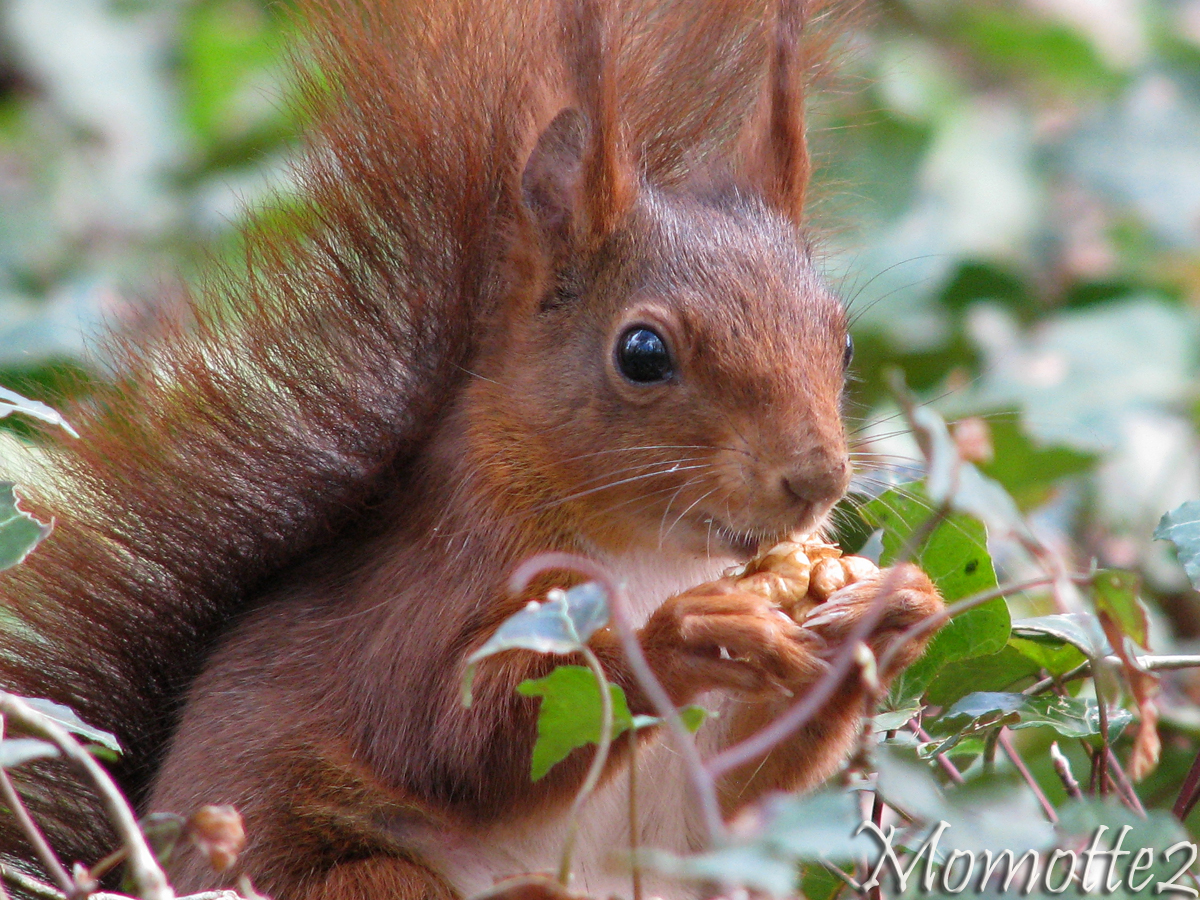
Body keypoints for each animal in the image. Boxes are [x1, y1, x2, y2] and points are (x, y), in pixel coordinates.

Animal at [0, 0, 940, 897]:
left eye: (843, 344)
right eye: (642, 354)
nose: (817, 478)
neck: (655, 555)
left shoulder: (687, 803)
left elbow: (721, 806)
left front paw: (888, 612)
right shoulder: (437, 587)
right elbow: (456, 737)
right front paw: (691, 635)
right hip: (365, 879)